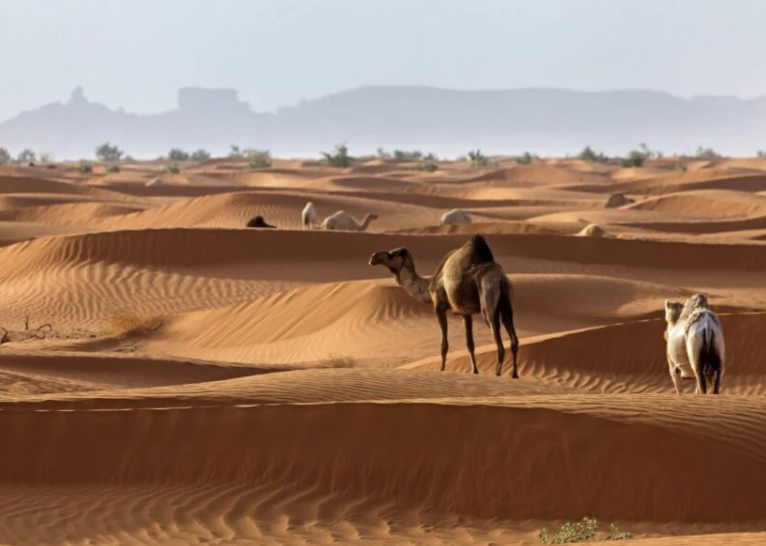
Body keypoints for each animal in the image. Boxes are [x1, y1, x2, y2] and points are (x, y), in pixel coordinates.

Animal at [368, 234, 520, 378]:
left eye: (392, 254)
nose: (373, 257)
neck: (429, 285)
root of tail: (500, 279)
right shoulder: (465, 313)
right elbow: (470, 344)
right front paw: (475, 371)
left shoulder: (439, 307)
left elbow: (444, 345)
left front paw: (442, 370)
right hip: (507, 304)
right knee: (514, 340)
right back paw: (514, 374)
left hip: (488, 300)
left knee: (500, 344)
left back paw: (497, 374)